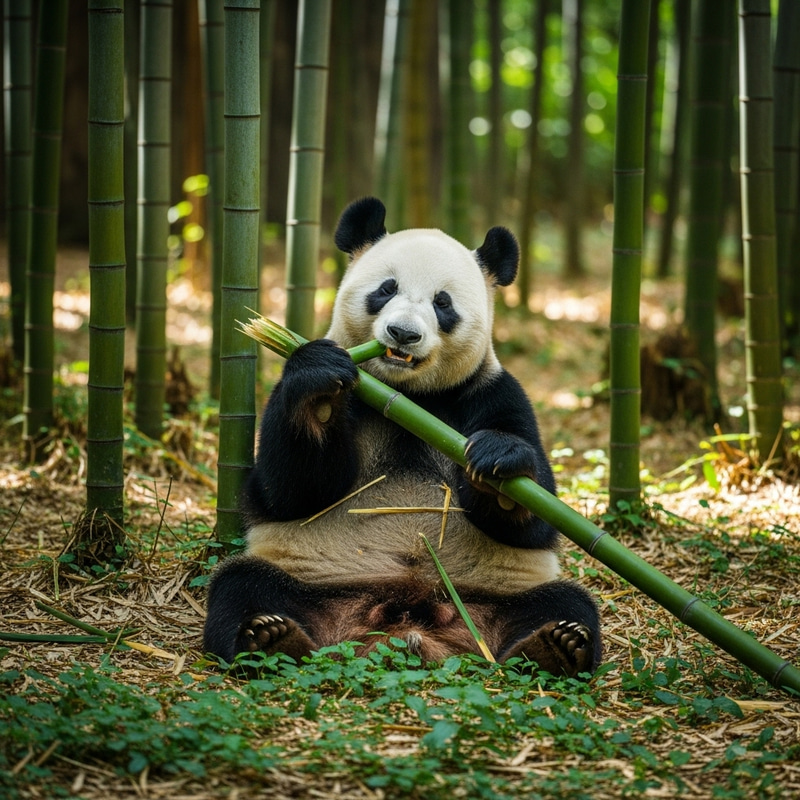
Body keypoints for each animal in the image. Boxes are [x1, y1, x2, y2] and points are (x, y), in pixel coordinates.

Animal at [203, 197, 602, 677]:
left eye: (443, 303)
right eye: (386, 289)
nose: (403, 334)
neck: (408, 396)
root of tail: (407, 625)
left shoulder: (490, 393)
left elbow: (537, 519)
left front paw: (499, 462)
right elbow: (286, 492)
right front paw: (319, 394)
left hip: (497, 591)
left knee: (567, 601)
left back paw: (555, 644)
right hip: (311, 580)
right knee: (240, 585)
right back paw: (268, 635)